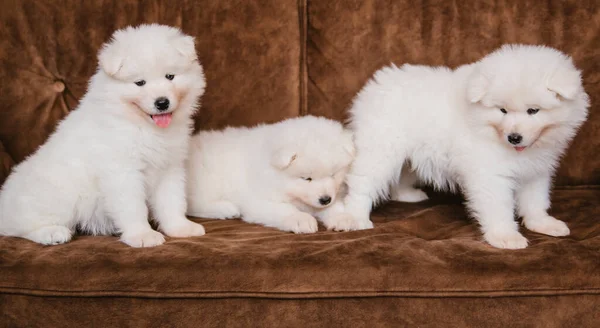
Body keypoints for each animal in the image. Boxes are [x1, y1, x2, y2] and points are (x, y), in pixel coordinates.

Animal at [0, 24, 207, 246]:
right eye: (140, 83)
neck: (142, 126)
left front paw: (180, 227)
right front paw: (142, 235)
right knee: (18, 226)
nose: (162, 102)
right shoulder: (123, 170)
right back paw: (52, 233)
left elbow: (173, 201)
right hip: (57, 194)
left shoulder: (170, 167)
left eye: (170, 76)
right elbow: (133, 207)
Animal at [186, 116, 356, 233]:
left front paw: (342, 217)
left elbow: (336, 207)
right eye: (306, 178)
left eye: (333, 174)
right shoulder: (258, 200)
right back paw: (226, 208)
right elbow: (284, 209)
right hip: (207, 180)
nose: (325, 199)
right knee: (193, 203)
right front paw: (301, 219)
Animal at [338, 44, 592, 249]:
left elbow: (535, 200)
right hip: (381, 148)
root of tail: (376, 85)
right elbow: (499, 205)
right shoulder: (489, 173)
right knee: (363, 183)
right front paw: (505, 236)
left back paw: (407, 195)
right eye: (502, 110)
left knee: (401, 173)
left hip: (408, 152)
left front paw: (542, 223)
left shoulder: (536, 170)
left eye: (533, 111)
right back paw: (354, 217)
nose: (514, 137)